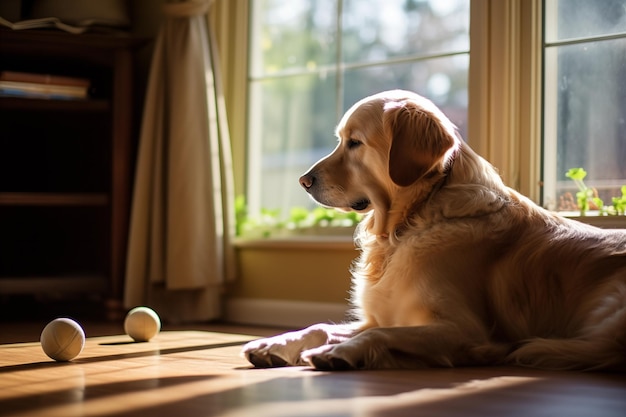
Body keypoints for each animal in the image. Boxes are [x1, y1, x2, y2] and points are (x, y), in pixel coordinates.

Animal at [240, 89, 624, 368]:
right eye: (340, 140)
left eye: (355, 143)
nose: (304, 181)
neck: (411, 221)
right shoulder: (379, 315)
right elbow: (321, 326)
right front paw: (275, 342)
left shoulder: (464, 330)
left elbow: (380, 335)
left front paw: (337, 353)